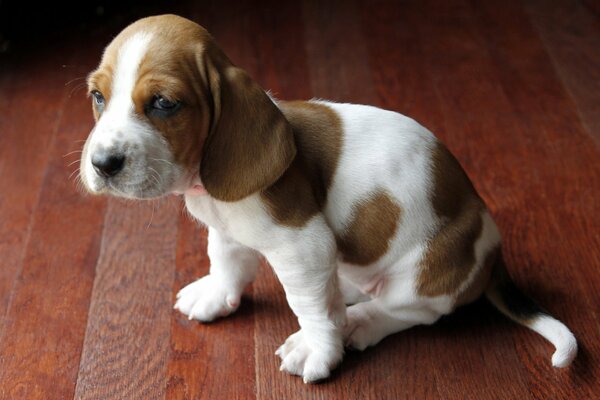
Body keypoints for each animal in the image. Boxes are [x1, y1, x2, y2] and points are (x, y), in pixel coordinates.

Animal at [79, 14, 576, 382]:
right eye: (98, 97)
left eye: (164, 103)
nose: (103, 164)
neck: (205, 181)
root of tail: (492, 254)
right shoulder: (228, 231)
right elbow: (227, 264)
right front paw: (217, 295)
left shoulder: (303, 248)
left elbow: (309, 306)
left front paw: (319, 349)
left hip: (423, 273)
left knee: (409, 311)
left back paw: (356, 322)